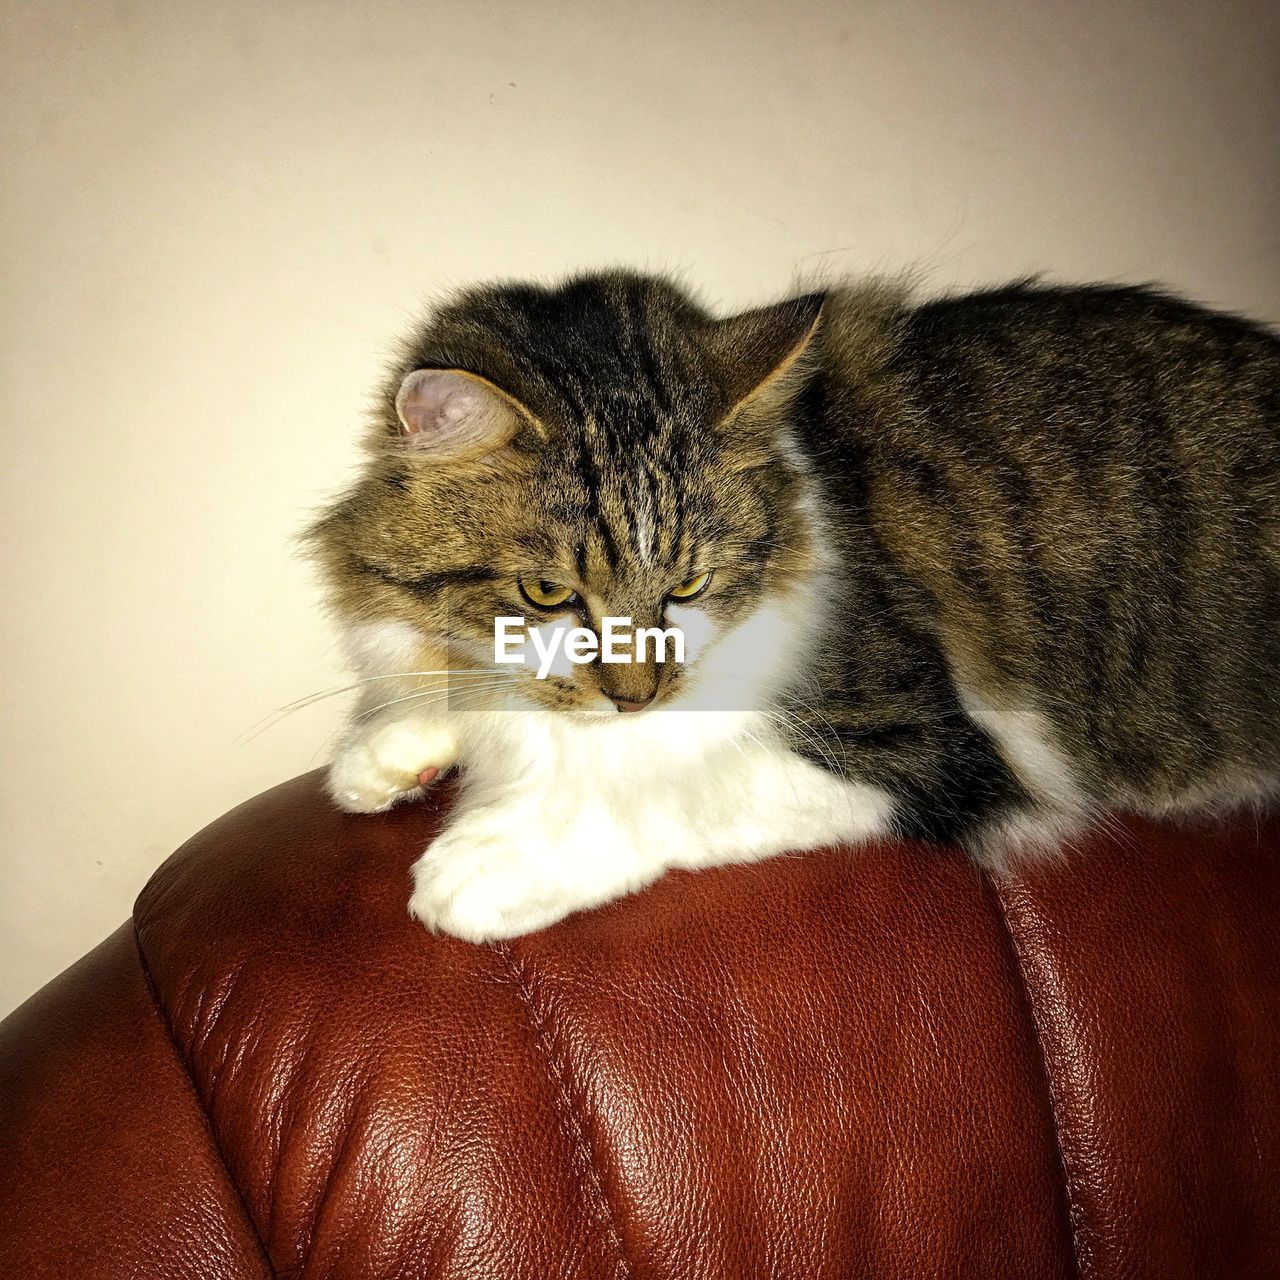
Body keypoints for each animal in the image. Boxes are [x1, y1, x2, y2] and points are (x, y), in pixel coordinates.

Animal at [304, 270, 1274, 942]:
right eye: (548, 593)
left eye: (688, 586)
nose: (636, 698)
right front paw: (384, 756)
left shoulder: (924, 744)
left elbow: (669, 790)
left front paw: (488, 865)